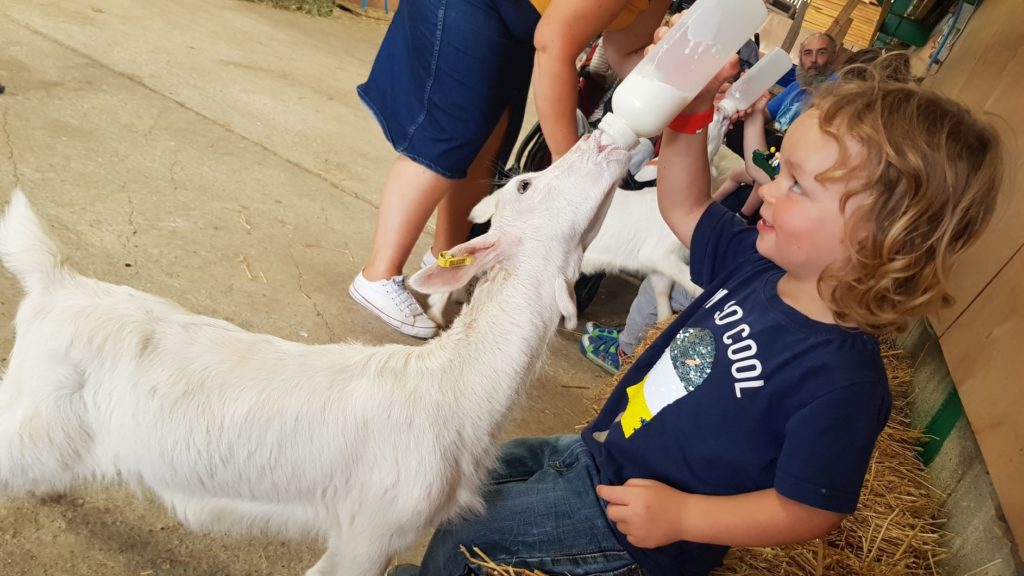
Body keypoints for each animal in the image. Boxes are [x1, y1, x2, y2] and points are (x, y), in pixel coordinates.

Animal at [0, 133, 630, 569]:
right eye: (526, 185)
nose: (607, 139)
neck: (453, 390)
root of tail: (53, 282)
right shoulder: (371, 531)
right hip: (36, 410)